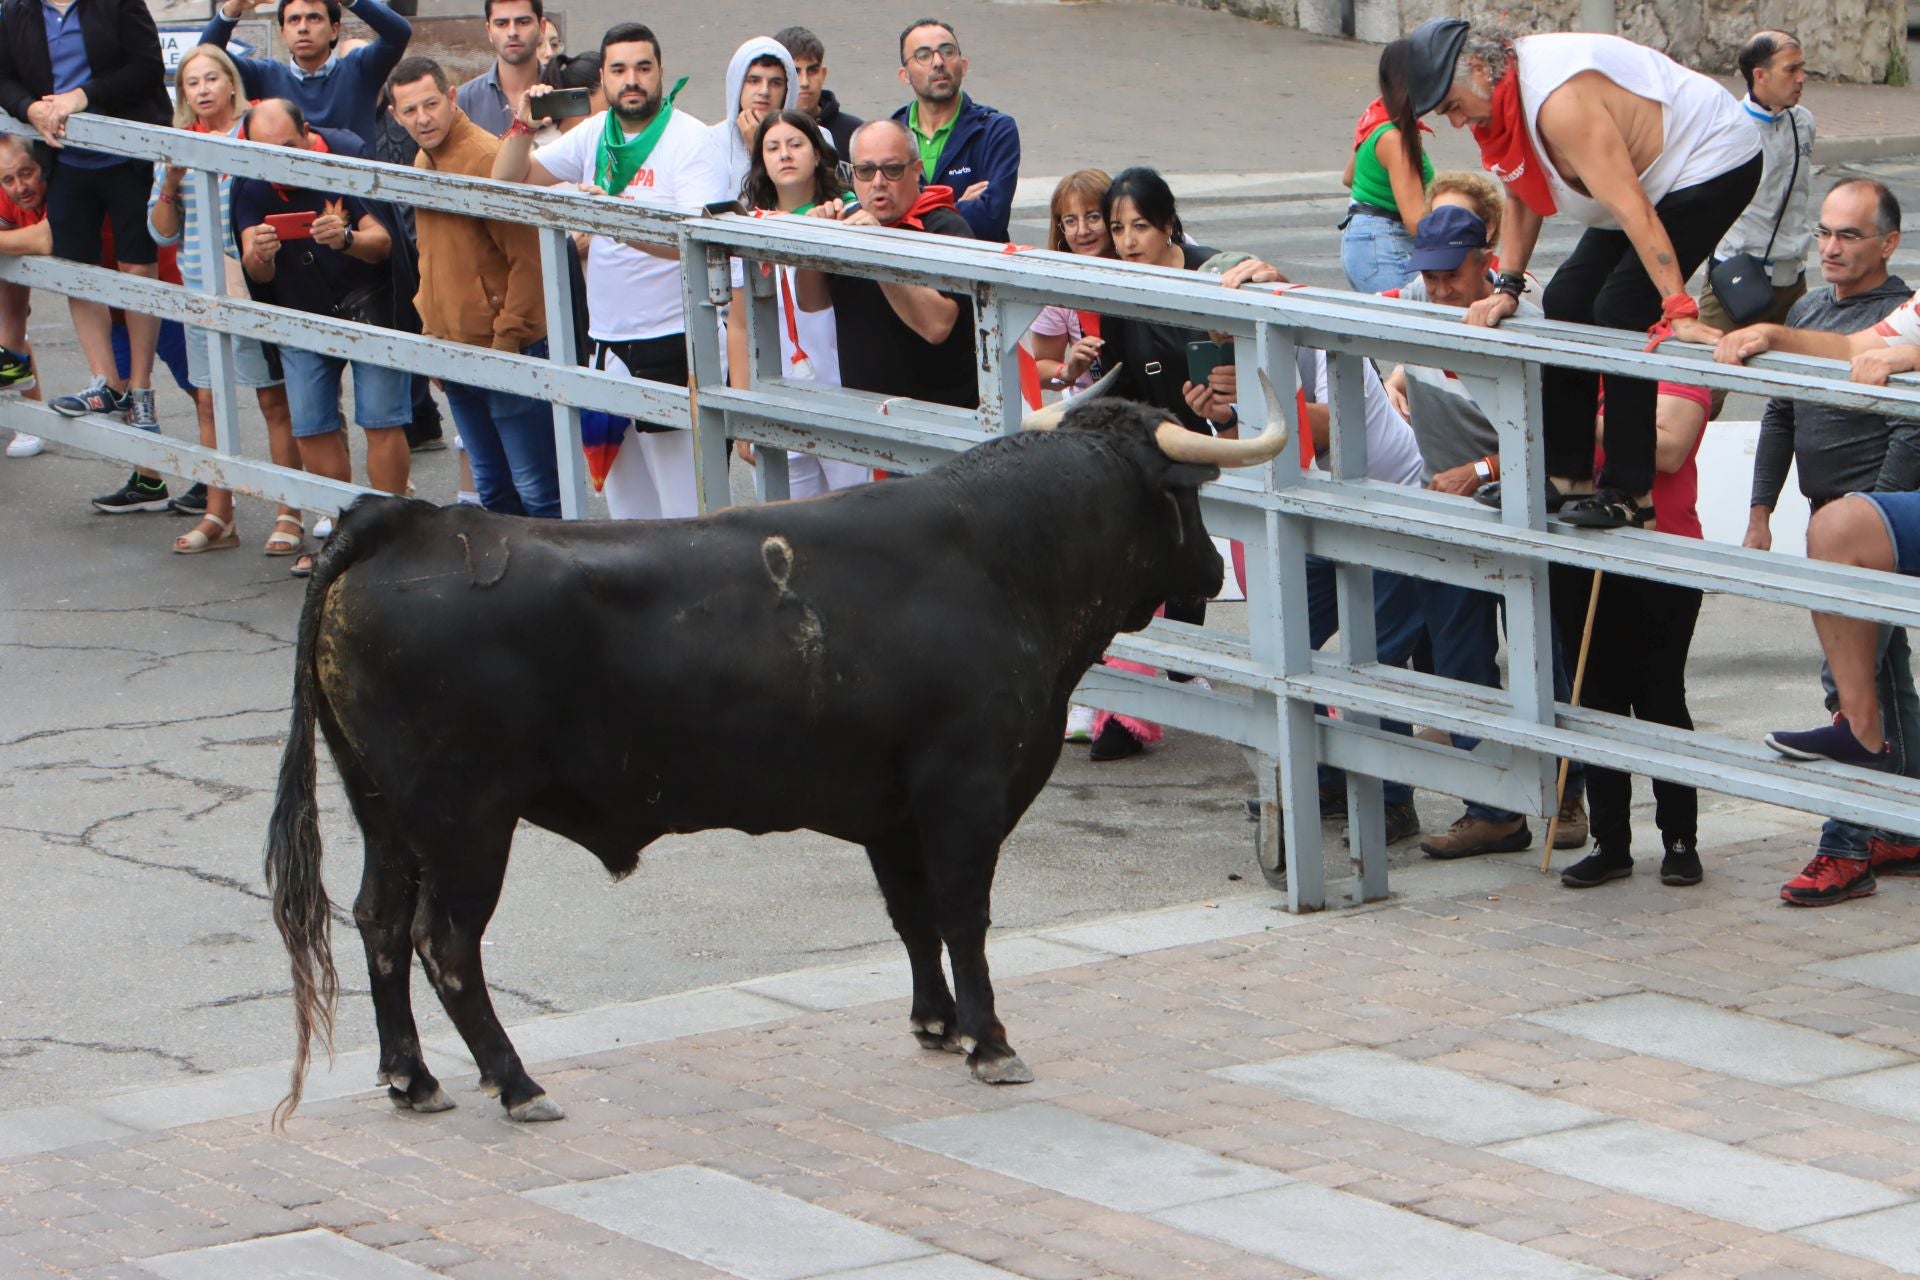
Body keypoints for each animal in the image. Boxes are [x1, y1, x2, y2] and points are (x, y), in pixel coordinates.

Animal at [263, 391, 1282, 1120]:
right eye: (1188, 497)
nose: (1212, 572)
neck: (1004, 561)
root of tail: (407, 521)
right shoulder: (965, 789)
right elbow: (963, 914)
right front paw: (990, 1041)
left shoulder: (891, 807)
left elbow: (911, 916)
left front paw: (934, 1024)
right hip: (464, 819)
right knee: (444, 942)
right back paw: (515, 1082)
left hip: (385, 811)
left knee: (378, 921)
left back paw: (412, 1077)